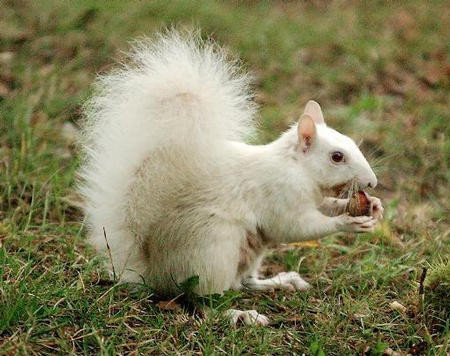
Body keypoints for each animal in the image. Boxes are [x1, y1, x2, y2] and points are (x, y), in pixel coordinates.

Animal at [78, 30, 384, 326]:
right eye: (337, 156)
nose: (372, 183)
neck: (299, 170)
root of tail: (154, 274)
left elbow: (326, 206)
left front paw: (372, 206)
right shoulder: (279, 195)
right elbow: (297, 228)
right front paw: (347, 222)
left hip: (247, 254)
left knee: (244, 283)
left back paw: (280, 282)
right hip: (212, 253)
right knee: (202, 302)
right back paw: (239, 315)